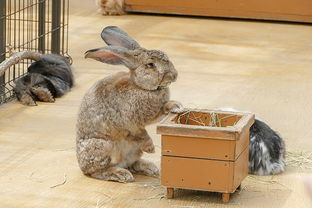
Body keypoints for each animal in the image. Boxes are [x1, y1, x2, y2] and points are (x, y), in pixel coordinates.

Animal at [76, 26, 183, 182]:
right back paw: (121, 174)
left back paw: (150, 168)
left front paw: (177, 106)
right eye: (150, 65)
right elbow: (142, 133)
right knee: (96, 171)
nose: (174, 75)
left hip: (133, 151)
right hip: (103, 146)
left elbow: (163, 108)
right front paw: (151, 148)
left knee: (131, 163)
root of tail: (81, 165)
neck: (140, 87)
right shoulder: (131, 123)